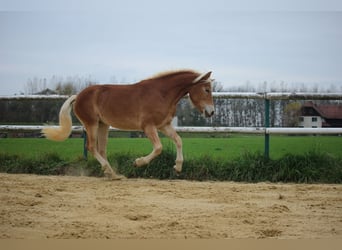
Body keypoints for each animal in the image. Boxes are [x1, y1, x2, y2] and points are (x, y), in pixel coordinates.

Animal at [42, 70, 214, 180]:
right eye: (206, 89)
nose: (211, 112)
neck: (162, 93)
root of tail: (78, 96)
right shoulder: (148, 126)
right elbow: (158, 148)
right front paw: (138, 162)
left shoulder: (163, 125)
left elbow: (178, 140)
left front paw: (177, 168)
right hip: (91, 124)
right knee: (91, 147)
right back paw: (109, 171)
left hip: (103, 125)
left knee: (101, 149)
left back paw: (113, 174)